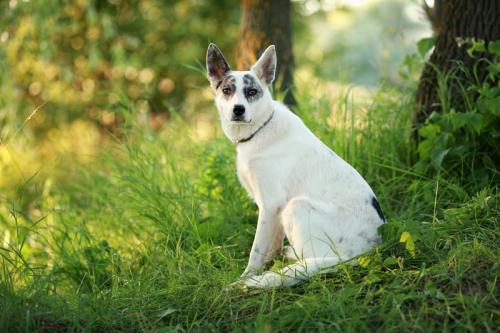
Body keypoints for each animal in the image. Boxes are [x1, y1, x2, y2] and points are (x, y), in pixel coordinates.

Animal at [205, 43, 384, 288]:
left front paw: (247, 277)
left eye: (252, 92)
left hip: (296, 206)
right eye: (227, 91)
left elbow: (257, 250)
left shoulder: (271, 204)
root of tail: (363, 251)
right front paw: (271, 262)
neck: (260, 129)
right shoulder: (272, 209)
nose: (238, 110)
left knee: (311, 261)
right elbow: (272, 244)